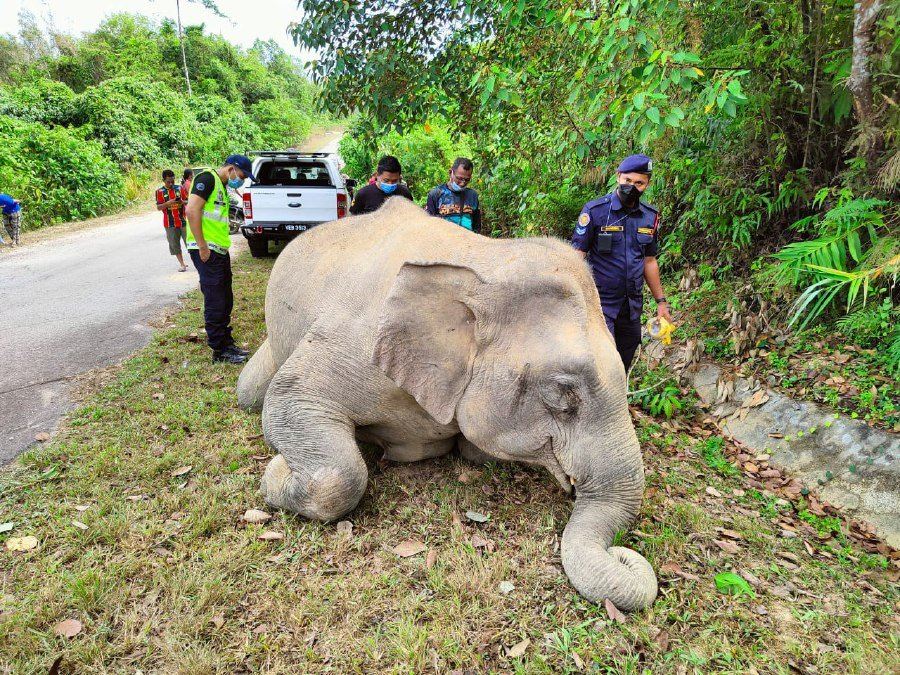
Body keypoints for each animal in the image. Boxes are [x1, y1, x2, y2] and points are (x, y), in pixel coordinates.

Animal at [236, 197, 658, 611]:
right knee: (252, 394)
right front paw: (276, 471)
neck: (483, 261)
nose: (623, 553)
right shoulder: (349, 341)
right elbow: (286, 401)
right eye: (563, 391)